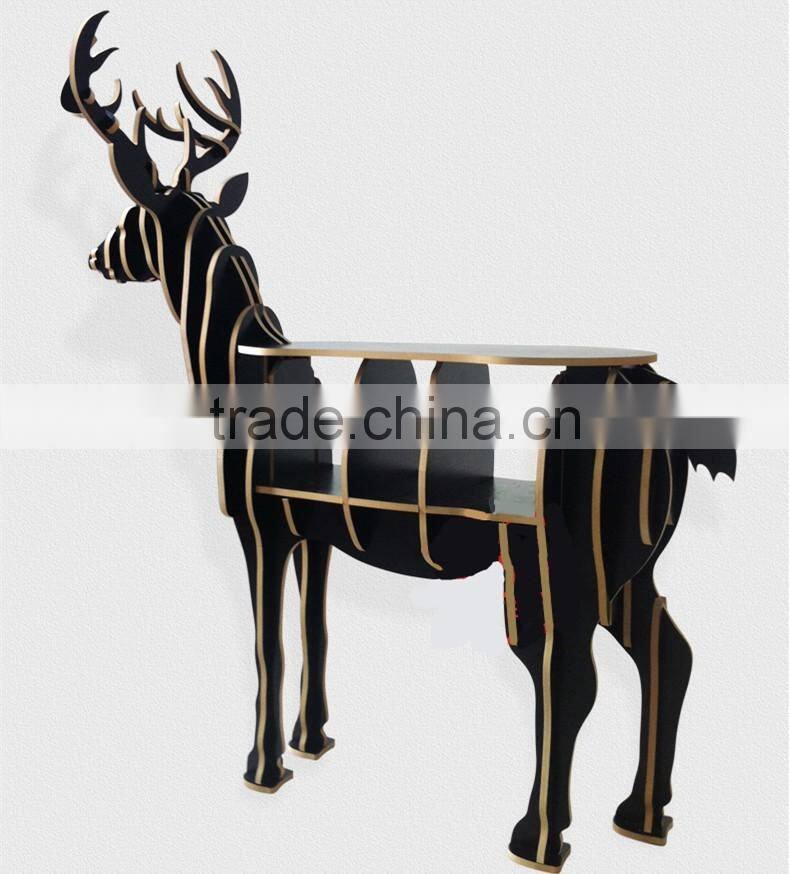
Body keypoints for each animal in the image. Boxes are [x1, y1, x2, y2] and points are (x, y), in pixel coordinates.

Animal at [62, 12, 736, 872]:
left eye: (135, 217)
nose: (96, 255)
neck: (229, 366)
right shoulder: (314, 530)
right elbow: (314, 631)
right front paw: (312, 742)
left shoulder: (257, 522)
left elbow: (267, 643)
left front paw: (262, 770)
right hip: (631, 567)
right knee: (669, 650)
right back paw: (642, 818)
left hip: (550, 565)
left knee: (568, 679)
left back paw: (537, 837)